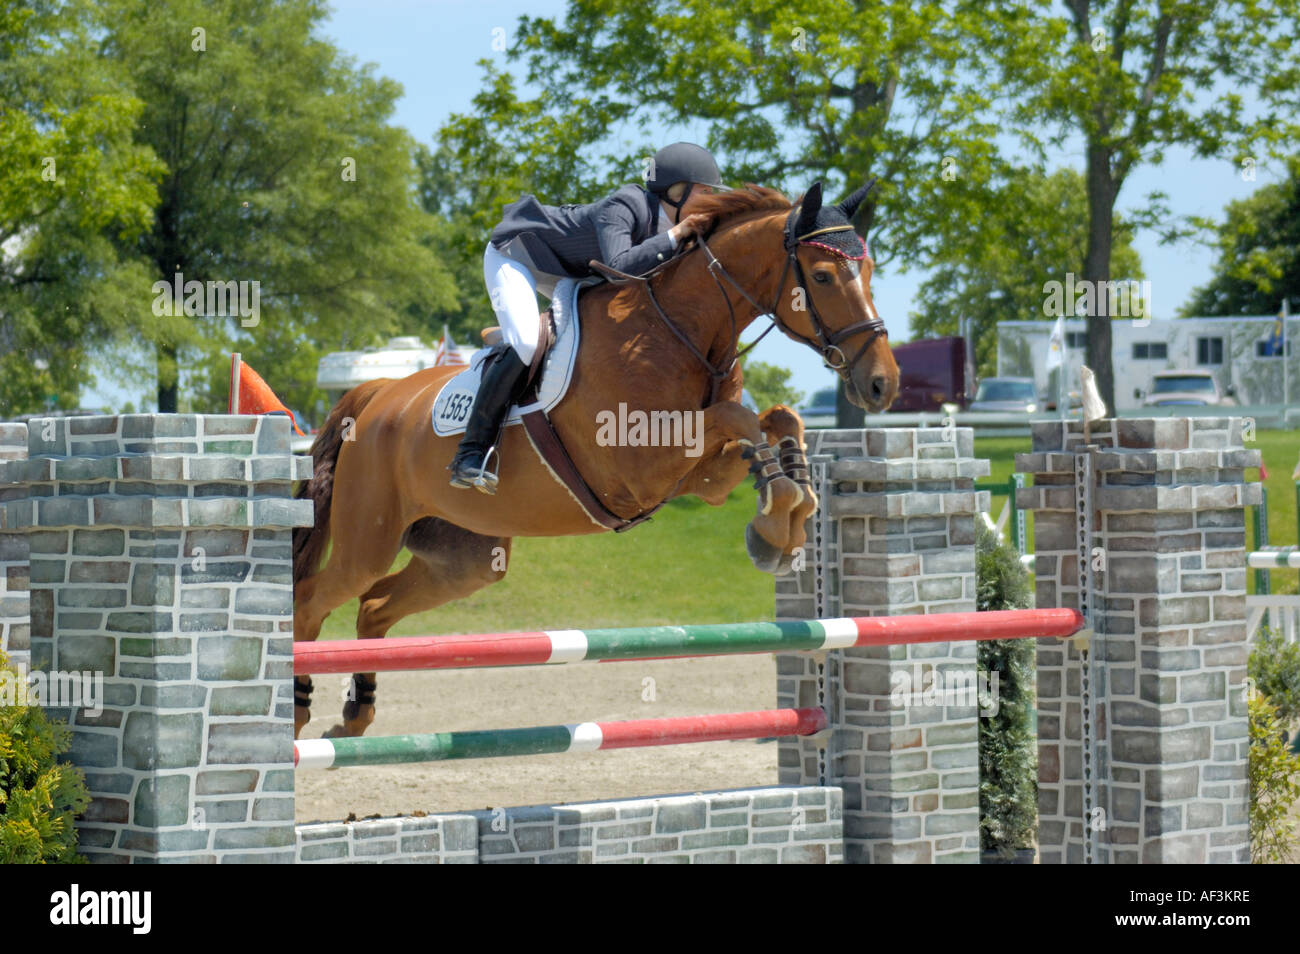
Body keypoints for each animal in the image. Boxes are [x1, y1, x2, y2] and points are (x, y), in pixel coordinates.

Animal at [291, 181, 900, 738]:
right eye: (822, 276)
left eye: (870, 274)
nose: (882, 385)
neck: (680, 331)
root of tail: (375, 397)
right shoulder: (636, 468)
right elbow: (739, 418)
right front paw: (776, 524)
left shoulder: (697, 478)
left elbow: (778, 419)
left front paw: (787, 517)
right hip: (369, 539)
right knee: (312, 599)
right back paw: (297, 709)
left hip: (465, 558)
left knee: (373, 605)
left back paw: (355, 715)